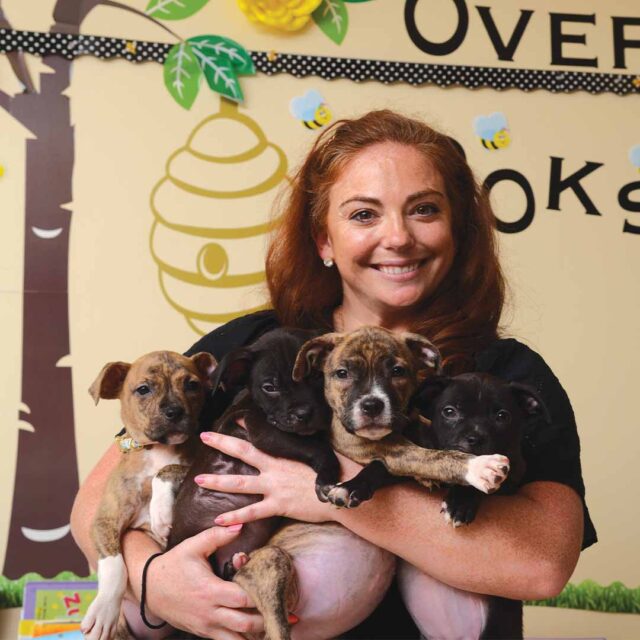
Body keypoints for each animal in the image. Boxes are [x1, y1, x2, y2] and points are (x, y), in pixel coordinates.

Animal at [80, 352, 214, 636]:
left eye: (192, 385)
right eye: (143, 389)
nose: (175, 411)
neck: (158, 449)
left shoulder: (198, 465)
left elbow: (166, 470)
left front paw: (161, 513)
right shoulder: (104, 521)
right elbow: (114, 565)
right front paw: (105, 609)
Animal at [170, 328, 340, 576]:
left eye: (318, 376)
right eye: (270, 387)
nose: (304, 413)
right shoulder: (264, 432)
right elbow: (316, 447)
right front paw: (328, 474)